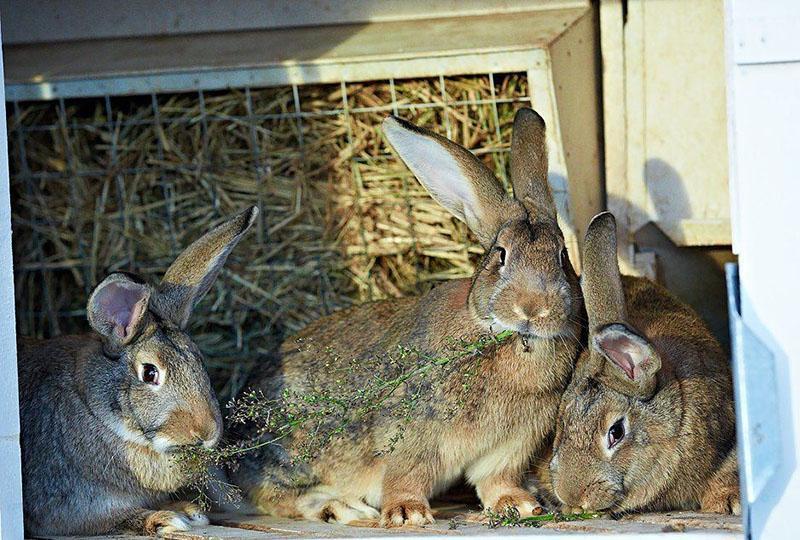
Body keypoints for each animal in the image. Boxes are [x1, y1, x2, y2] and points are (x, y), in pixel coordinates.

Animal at [17, 206, 258, 536]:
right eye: (149, 373)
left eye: (199, 360)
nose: (207, 433)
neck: (95, 411)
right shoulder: (66, 511)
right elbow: (116, 518)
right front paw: (168, 517)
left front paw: (187, 509)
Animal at [228, 108, 584, 528]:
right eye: (501, 255)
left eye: (562, 257)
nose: (533, 308)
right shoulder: (413, 438)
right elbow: (405, 476)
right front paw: (406, 514)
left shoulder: (510, 447)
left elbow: (497, 481)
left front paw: (520, 505)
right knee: (275, 494)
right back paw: (342, 507)